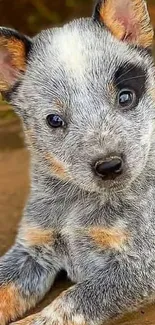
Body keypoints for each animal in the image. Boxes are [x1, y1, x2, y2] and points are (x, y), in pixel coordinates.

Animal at [0, 0, 155, 322]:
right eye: (54, 120)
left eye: (125, 97)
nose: (109, 165)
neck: (77, 202)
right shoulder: (32, 247)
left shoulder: (142, 263)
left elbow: (70, 301)